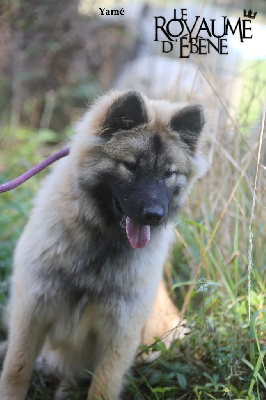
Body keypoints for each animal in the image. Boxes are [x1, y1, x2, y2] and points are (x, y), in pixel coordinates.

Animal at [0, 90, 208, 400]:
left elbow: (104, 385)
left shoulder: (120, 332)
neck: (101, 242)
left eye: (168, 173)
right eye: (131, 166)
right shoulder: (31, 312)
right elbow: (16, 369)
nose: (154, 215)